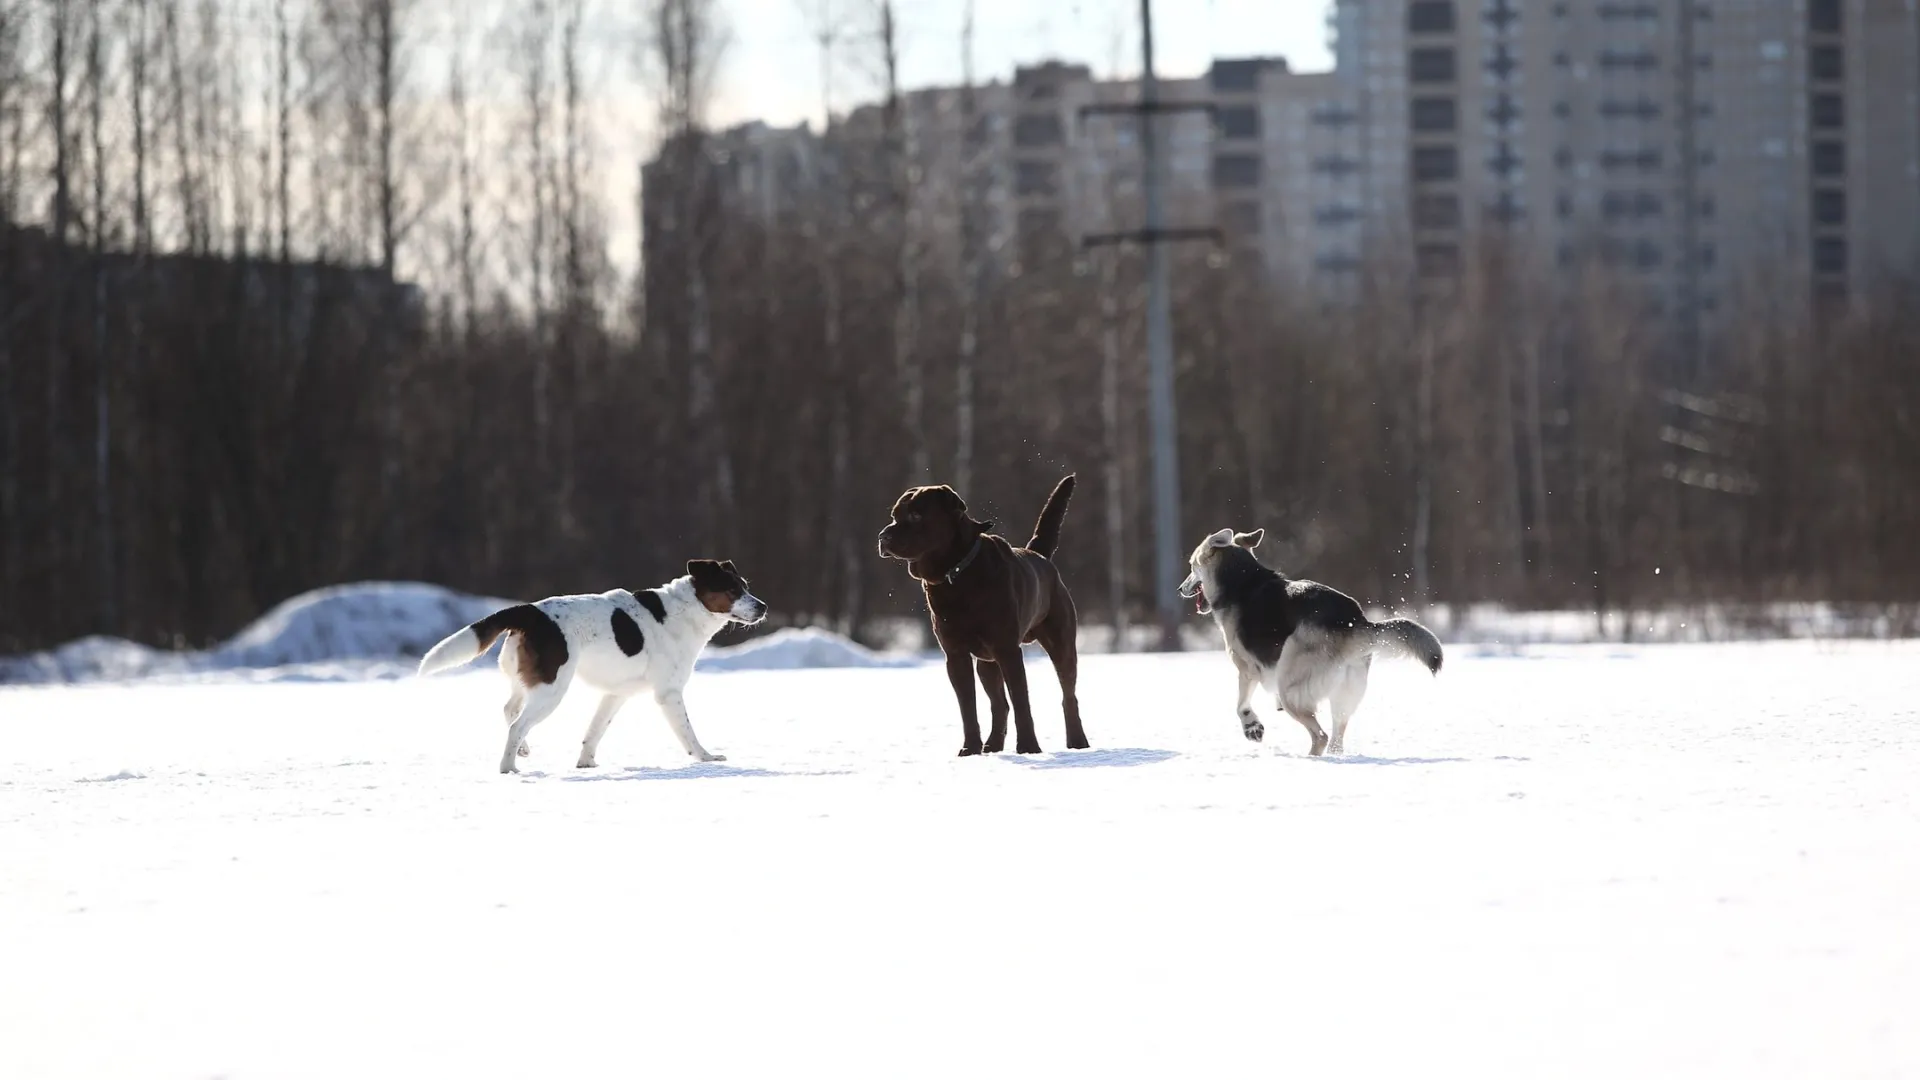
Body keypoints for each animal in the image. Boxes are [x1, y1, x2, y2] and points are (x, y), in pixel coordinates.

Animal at [416, 557, 760, 768]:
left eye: (746, 585)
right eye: (732, 589)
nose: (764, 607)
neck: (686, 609)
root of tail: (531, 611)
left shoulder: (616, 694)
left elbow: (595, 731)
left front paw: (586, 763)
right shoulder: (669, 693)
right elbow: (688, 733)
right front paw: (706, 758)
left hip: (529, 682)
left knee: (509, 709)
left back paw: (524, 750)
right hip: (552, 689)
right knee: (516, 725)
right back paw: (508, 767)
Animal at [1167, 526, 1443, 753]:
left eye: (1191, 565)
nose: (1179, 589)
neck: (1241, 580)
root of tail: (1355, 622)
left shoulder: (1247, 668)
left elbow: (1241, 705)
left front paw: (1252, 728)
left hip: (1290, 684)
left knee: (1320, 736)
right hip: (1342, 695)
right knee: (1335, 740)